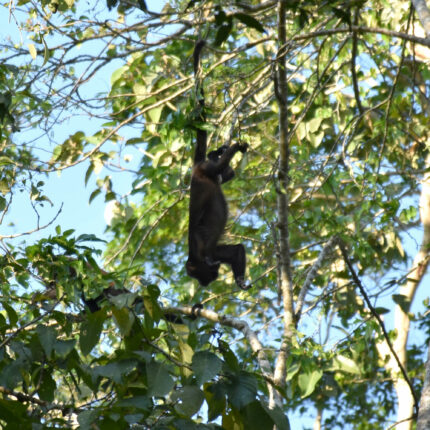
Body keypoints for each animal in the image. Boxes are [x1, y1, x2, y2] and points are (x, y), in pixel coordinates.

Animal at [185, 40, 249, 290]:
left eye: (199, 276)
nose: (204, 284)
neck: (196, 258)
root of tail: (195, 169)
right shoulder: (212, 251)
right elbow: (236, 251)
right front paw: (240, 279)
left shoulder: (201, 247)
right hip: (209, 172)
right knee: (225, 173)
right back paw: (221, 154)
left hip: (204, 171)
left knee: (218, 167)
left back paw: (232, 150)